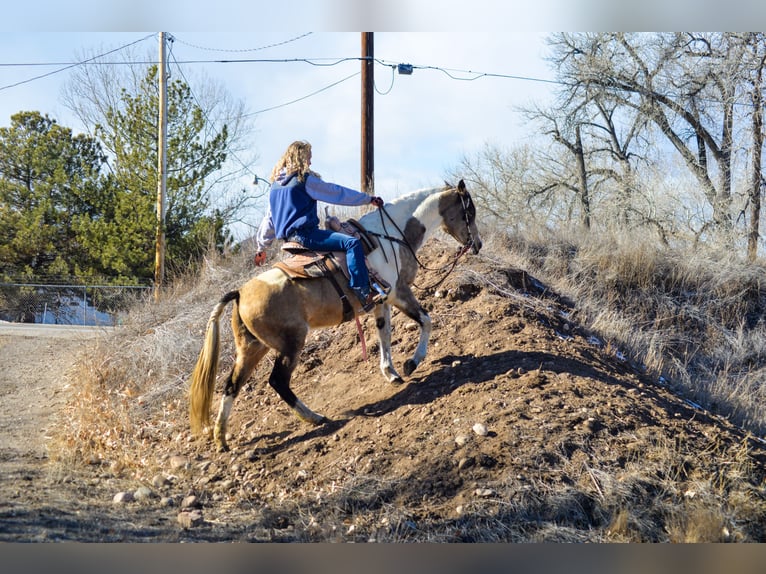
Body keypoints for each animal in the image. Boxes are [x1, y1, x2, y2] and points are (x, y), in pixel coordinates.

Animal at [189, 180, 484, 454]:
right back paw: (314, 417)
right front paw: (412, 363)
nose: (477, 244)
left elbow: (384, 335)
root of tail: (240, 293)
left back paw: (221, 439)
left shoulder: (382, 303)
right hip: (290, 344)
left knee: (231, 385)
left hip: (252, 348)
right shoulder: (399, 293)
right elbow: (426, 320)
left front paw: (390, 373)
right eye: (469, 211)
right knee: (278, 381)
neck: (390, 236)